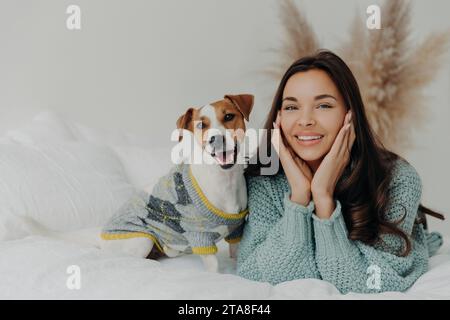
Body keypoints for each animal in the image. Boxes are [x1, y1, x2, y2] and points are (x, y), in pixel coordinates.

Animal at [99, 94, 253, 272]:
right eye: (201, 125)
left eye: (229, 116)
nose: (216, 139)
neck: (224, 179)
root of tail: (100, 241)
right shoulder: (199, 236)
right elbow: (213, 267)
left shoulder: (236, 229)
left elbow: (235, 254)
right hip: (142, 239)